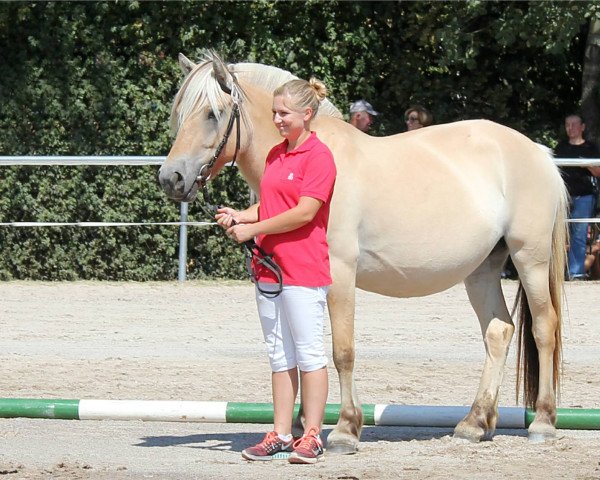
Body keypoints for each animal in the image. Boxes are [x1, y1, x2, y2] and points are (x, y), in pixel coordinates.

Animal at [158, 50, 568, 452]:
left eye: (213, 113)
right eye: (181, 113)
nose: (170, 178)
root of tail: (538, 152)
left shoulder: (340, 272)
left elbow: (342, 351)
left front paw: (344, 429)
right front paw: (301, 425)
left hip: (529, 259)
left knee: (543, 329)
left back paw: (543, 422)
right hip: (481, 270)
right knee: (499, 332)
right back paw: (475, 423)